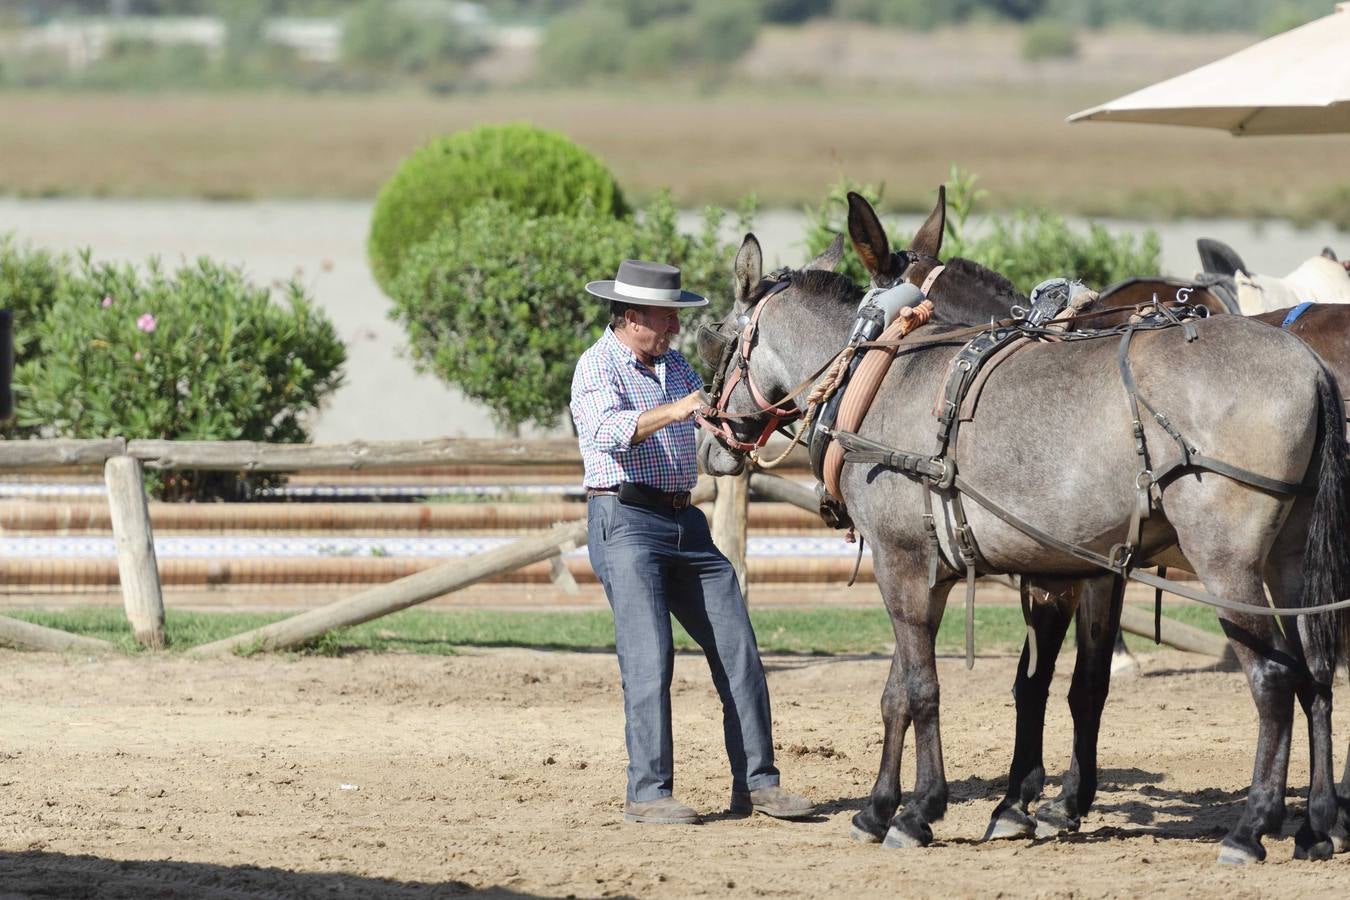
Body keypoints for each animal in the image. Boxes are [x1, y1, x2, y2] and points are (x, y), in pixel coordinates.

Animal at [696, 201, 1350, 863]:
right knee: (1317, 674)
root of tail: (1310, 367)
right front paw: (885, 808)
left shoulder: (905, 562)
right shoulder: (942, 572)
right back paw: (1319, 825)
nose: (708, 438)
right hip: (1292, 563)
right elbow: (906, 691)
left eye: (716, 339)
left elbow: (927, 688)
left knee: (1274, 681)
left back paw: (1252, 826)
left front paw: (919, 811)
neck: (882, 375)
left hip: (1226, 565)